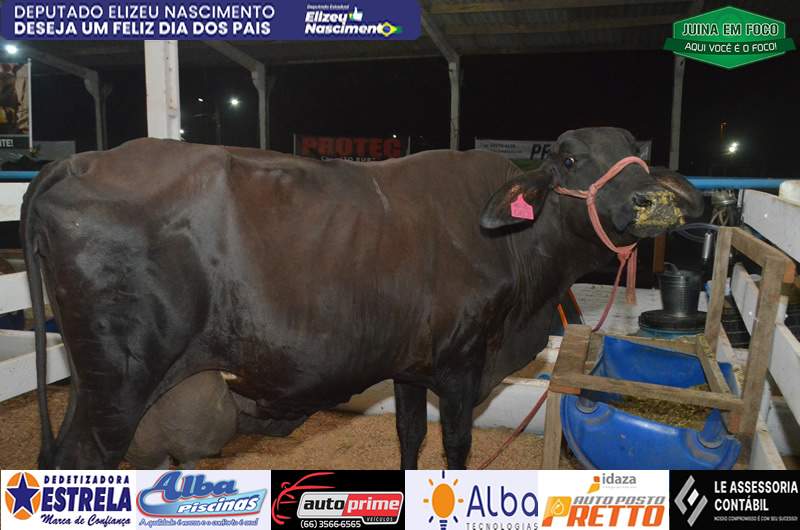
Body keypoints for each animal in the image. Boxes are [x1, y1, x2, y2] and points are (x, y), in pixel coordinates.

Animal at [22, 127, 702, 469]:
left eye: (638, 154)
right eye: (567, 158)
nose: (651, 201)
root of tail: (75, 163)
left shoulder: (410, 365)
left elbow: (409, 438)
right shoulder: (461, 365)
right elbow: (455, 448)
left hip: (97, 385)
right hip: (118, 388)